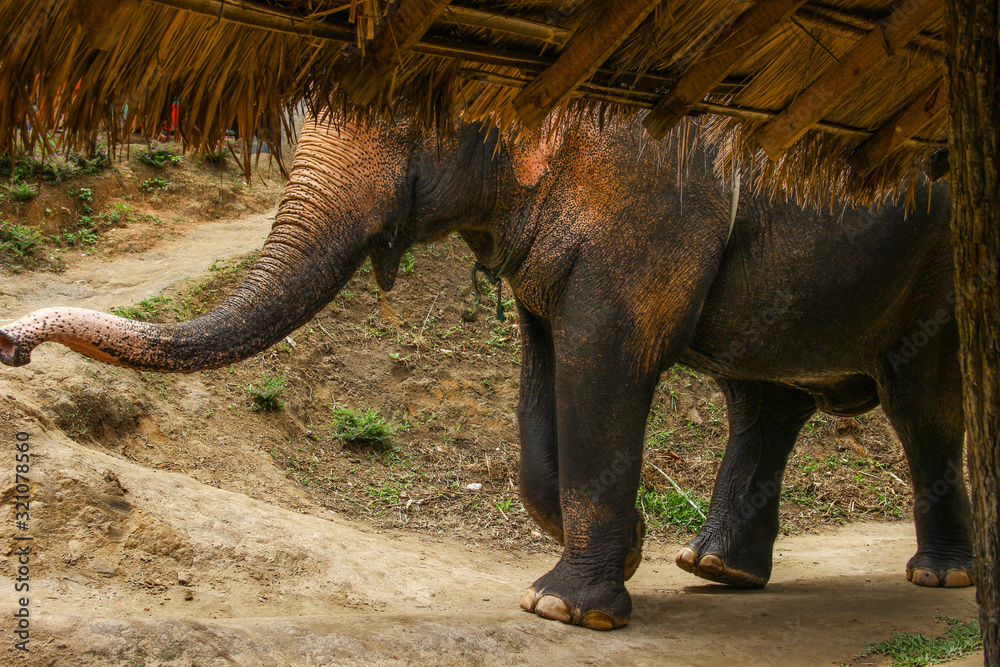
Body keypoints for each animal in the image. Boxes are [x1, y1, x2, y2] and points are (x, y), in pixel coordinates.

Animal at [0, 115, 972, 631]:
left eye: (407, 118)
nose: (12, 343)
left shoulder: (651, 201)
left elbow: (604, 360)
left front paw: (564, 610)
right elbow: (543, 374)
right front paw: (624, 553)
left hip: (935, 270)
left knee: (921, 406)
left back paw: (940, 578)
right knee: (762, 400)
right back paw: (715, 568)